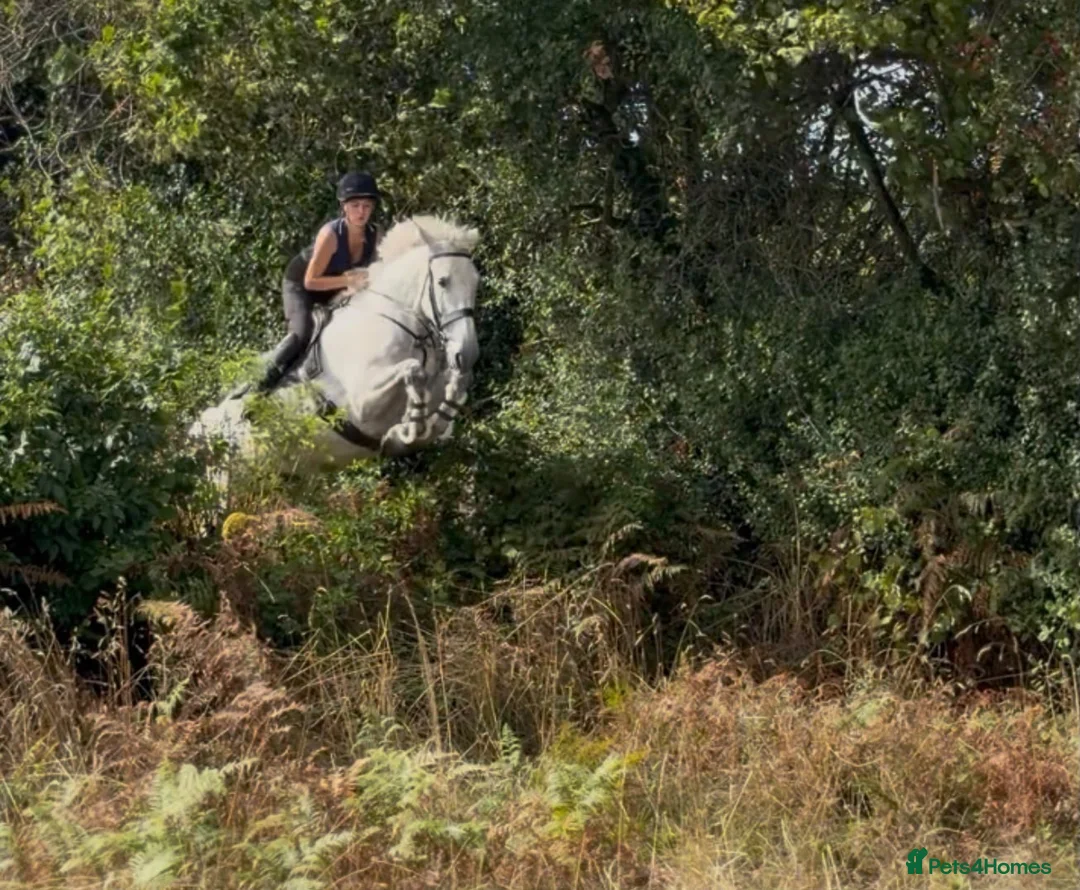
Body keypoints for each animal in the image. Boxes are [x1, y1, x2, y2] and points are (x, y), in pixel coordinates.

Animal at [188, 215, 480, 474]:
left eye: (476, 284)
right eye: (443, 282)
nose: (467, 354)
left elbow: (453, 395)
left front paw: (411, 429)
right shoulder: (361, 404)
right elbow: (412, 370)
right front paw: (409, 429)